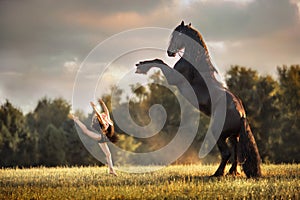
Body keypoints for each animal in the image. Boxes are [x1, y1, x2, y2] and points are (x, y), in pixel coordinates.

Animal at [135, 21, 262, 178]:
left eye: (178, 34)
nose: (170, 52)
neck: (193, 64)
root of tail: (241, 114)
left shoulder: (173, 78)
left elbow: (159, 61)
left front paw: (141, 67)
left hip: (219, 134)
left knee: (226, 153)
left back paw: (217, 173)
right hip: (234, 137)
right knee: (236, 153)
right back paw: (232, 172)